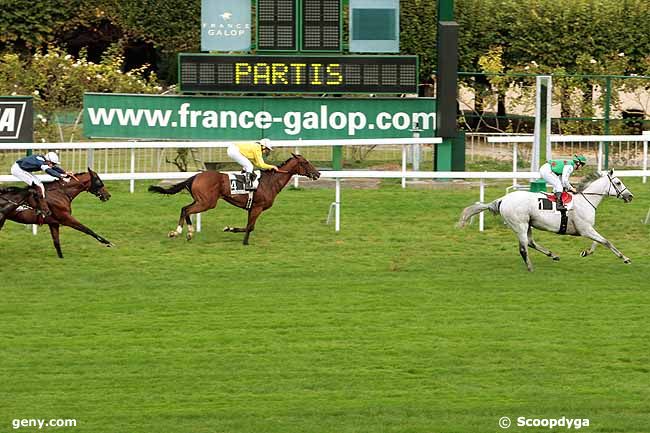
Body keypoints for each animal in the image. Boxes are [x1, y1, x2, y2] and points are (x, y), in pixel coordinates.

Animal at [147, 154, 318, 245]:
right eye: (305, 162)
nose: (317, 174)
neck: (269, 182)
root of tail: (195, 176)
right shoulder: (258, 207)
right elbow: (250, 227)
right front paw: (244, 241)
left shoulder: (252, 207)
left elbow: (249, 226)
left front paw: (230, 229)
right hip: (207, 202)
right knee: (186, 209)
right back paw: (179, 232)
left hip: (201, 200)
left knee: (185, 209)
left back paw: (186, 232)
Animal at [456, 170, 632, 272]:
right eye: (618, 182)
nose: (630, 196)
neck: (585, 201)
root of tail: (502, 200)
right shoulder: (585, 229)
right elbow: (606, 241)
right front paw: (625, 258)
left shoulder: (587, 229)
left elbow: (598, 242)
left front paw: (586, 252)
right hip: (520, 225)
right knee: (523, 247)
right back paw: (530, 267)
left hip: (528, 224)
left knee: (530, 243)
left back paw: (552, 255)